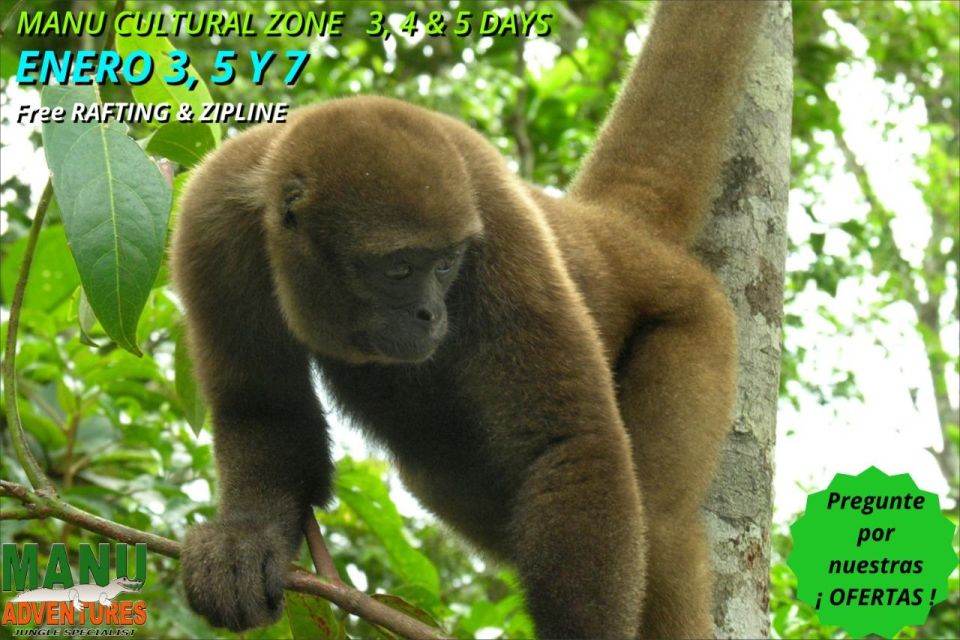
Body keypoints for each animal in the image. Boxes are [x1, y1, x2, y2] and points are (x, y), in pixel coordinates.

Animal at [172, 2, 764, 636]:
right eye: (398, 269)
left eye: (447, 264)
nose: (432, 312)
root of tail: (612, 226)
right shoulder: (208, 218)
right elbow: (260, 406)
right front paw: (247, 538)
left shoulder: (494, 211)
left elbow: (571, 444)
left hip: (695, 322)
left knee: (661, 522)